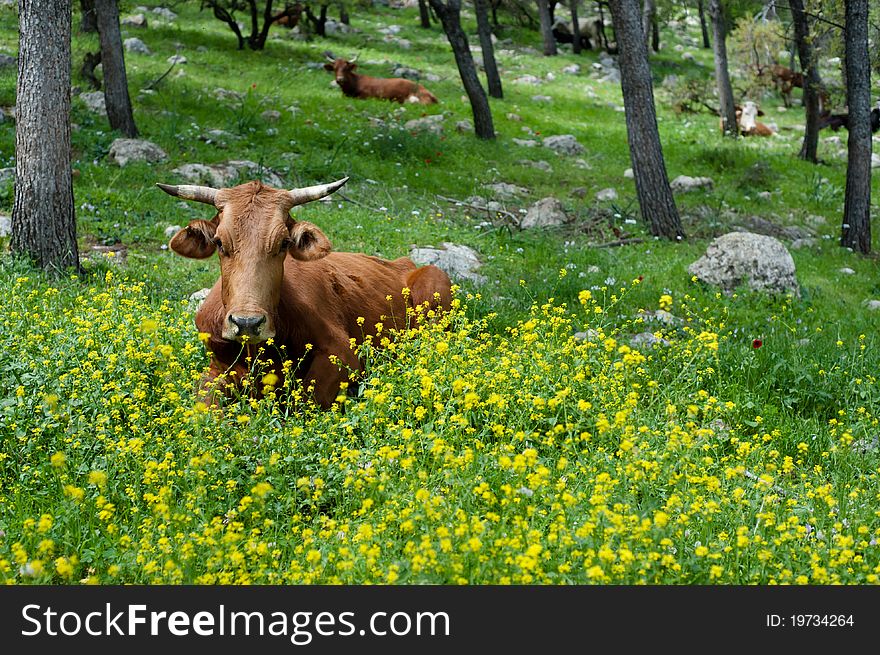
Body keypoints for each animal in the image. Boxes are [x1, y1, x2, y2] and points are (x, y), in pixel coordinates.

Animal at [159, 177, 458, 408]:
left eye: (283, 243)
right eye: (220, 242)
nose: (247, 322)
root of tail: (403, 263)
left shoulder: (342, 353)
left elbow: (306, 401)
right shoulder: (215, 366)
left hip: (435, 283)